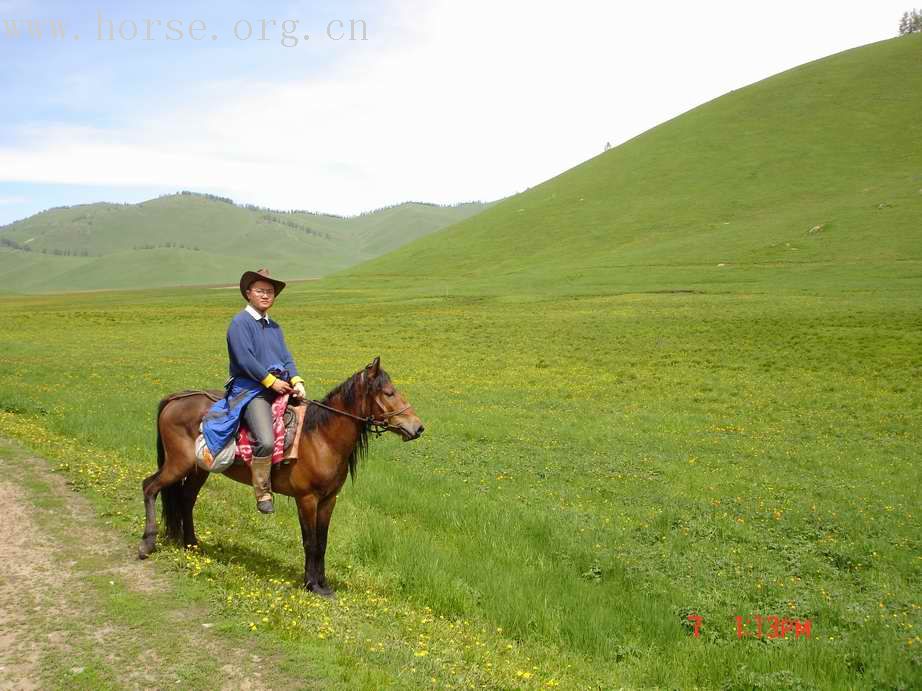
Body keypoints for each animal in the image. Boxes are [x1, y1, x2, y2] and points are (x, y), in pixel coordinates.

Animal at [137, 360, 424, 596]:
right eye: (388, 392)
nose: (418, 427)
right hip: (178, 464)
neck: (321, 437)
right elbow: (310, 541)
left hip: (198, 469)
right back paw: (147, 544)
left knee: (186, 500)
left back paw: (191, 545)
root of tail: (175, 398)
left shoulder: (329, 500)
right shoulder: (306, 499)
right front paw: (311, 584)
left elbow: (323, 542)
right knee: (149, 487)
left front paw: (323, 584)